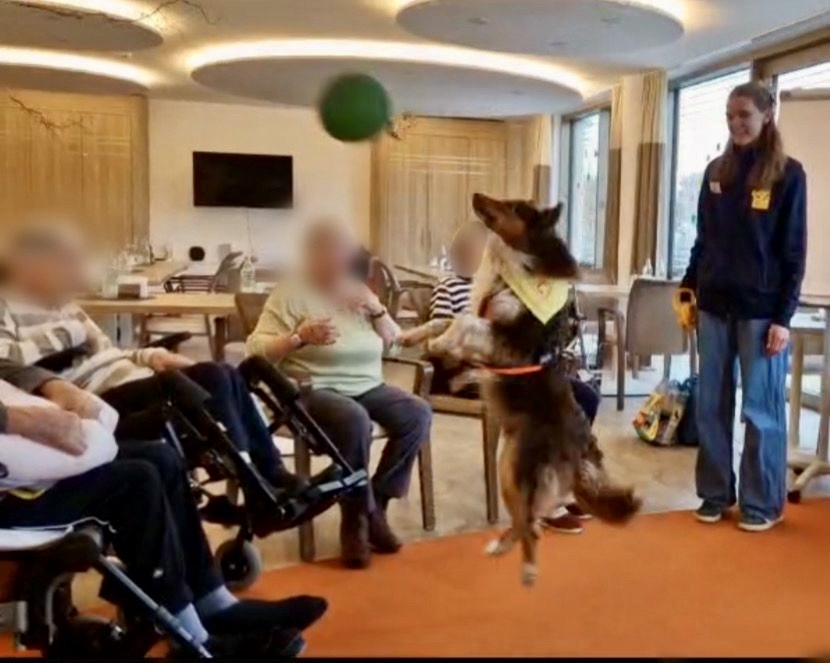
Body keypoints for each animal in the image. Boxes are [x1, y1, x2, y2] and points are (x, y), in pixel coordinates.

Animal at [402, 193, 640, 586]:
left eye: (514, 207)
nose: (476, 196)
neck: (515, 269)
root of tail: (579, 454)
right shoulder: (484, 321)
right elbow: (444, 318)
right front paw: (414, 336)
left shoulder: (507, 339)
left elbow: (461, 321)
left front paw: (440, 344)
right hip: (507, 470)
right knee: (524, 521)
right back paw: (501, 548)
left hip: (513, 471)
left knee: (530, 525)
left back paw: (528, 570)